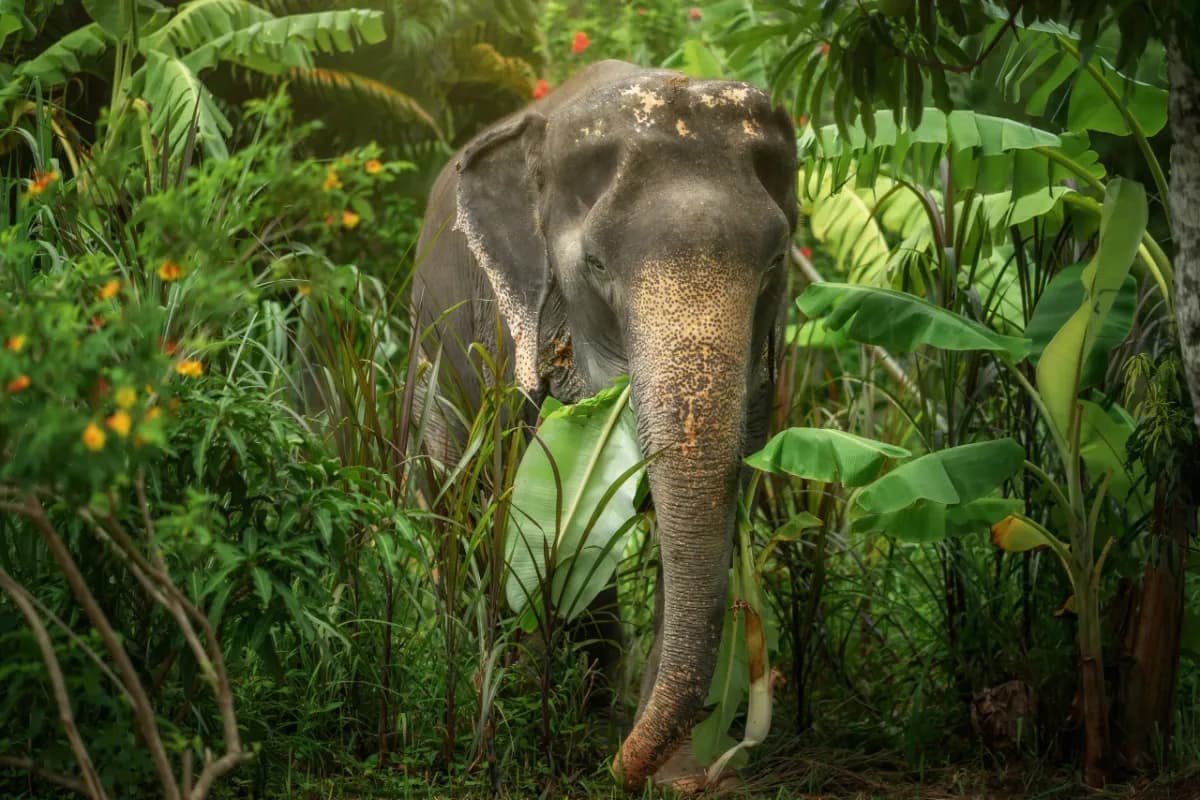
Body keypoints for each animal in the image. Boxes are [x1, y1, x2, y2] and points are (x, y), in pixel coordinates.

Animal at [412, 59, 798, 791]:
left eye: (775, 265)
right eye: (594, 266)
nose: (615, 768)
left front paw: (674, 779)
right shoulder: (510, 340)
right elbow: (521, 504)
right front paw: (529, 729)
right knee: (455, 494)